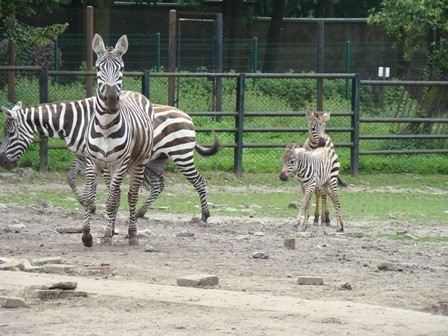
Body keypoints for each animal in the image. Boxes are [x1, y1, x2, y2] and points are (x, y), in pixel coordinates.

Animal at [81, 34, 155, 247]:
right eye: (98, 68)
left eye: (121, 68)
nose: (112, 98)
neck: (106, 127)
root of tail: (133, 92)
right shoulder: (92, 161)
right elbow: (90, 198)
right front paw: (87, 236)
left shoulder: (121, 163)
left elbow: (113, 200)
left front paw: (106, 235)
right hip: (108, 167)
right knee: (117, 194)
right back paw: (113, 229)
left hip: (139, 162)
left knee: (131, 195)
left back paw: (132, 234)